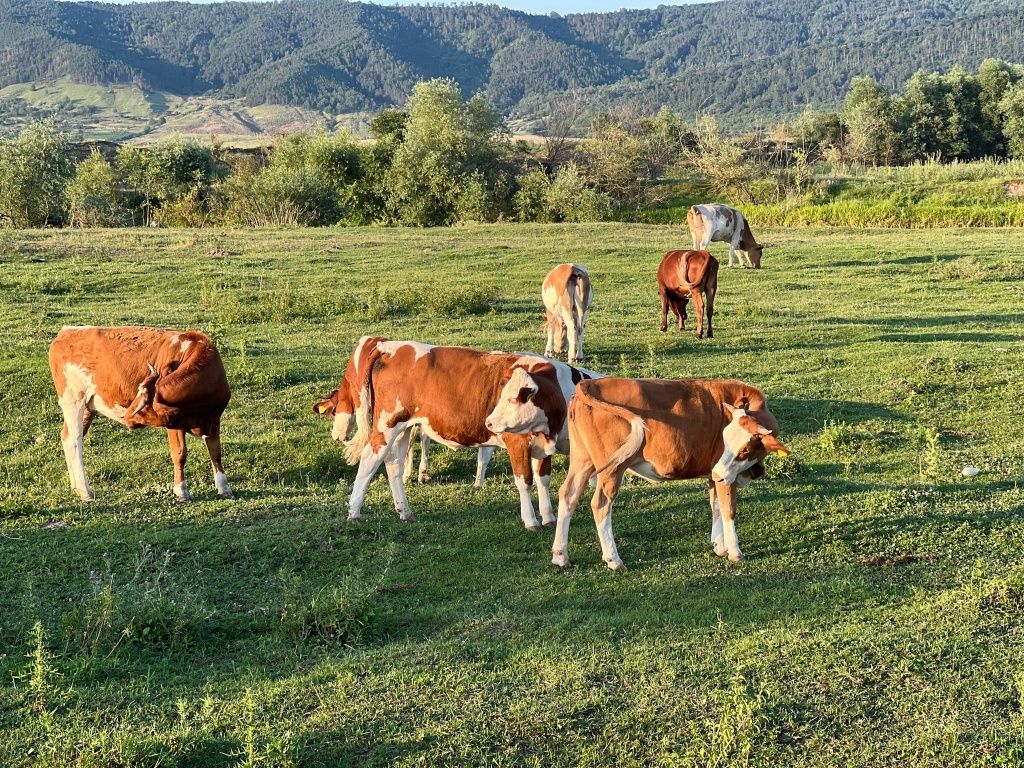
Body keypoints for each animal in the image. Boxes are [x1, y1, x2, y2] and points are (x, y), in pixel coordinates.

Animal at [48, 325, 232, 501]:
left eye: (143, 408)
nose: (126, 417)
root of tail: (67, 332)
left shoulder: (214, 418)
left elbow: (216, 451)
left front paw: (224, 488)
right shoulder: (174, 424)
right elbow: (180, 454)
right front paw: (181, 491)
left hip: (88, 406)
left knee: (66, 437)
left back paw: (76, 488)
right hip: (73, 400)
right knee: (74, 439)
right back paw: (85, 491)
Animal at [313, 339, 598, 532]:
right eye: (506, 397)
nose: (490, 421)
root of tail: (387, 345)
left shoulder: (543, 444)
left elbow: (543, 479)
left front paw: (549, 516)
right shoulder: (517, 442)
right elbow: (525, 481)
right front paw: (531, 520)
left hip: (404, 427)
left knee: (393, 465)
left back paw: (405, 511)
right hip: (386, 424)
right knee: (369, 460)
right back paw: (354, 511)